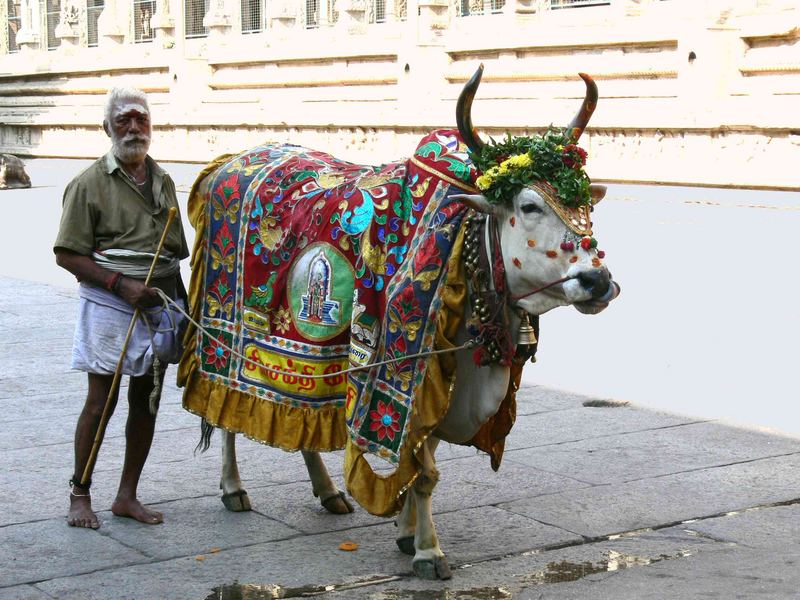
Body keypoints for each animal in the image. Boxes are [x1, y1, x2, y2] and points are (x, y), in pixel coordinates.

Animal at [180, 67, 620, 580]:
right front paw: (428, 551)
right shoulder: (416, 368)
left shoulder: (439, 386)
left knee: (301, 413)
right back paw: (232, 487)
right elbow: (425, 472)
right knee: (223, 408)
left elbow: (417, 462)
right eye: (529, 206)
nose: (596, 280)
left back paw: (328, 490)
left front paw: (407, 533)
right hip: (221, 334)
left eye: (586, 203)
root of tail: (228, 162)